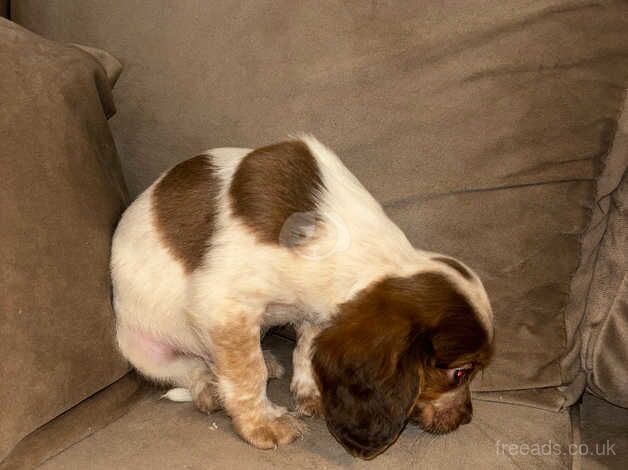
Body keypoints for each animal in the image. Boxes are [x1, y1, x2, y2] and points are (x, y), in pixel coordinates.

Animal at [113, 136, 496, 458]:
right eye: (460, 374)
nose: (467, 418)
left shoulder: (317, 310)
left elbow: (305, 347)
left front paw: (310, 392)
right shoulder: (224, 309)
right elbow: (246, 373)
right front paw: (263, 423)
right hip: (143, 351)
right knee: (191, 370)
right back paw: (210, 386)